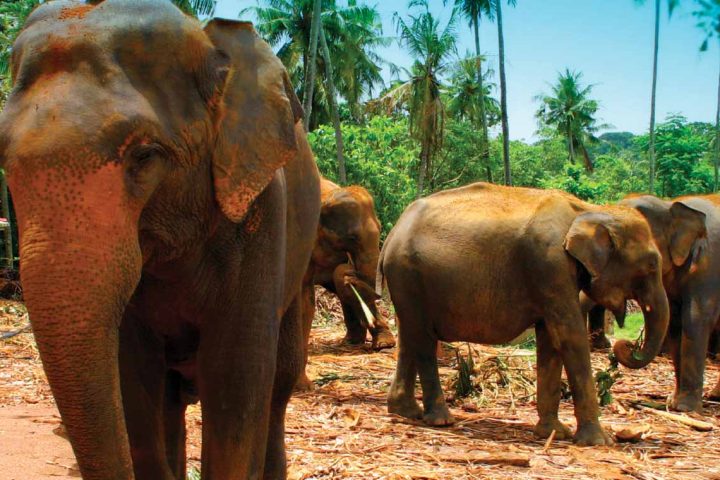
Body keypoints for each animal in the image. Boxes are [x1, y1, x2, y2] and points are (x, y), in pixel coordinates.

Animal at [0, 1, 320, 478]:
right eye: (4, 161)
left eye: (145, 155)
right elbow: (134, 373)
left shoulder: (261, 208)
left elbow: (235, 375)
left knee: (278, 386)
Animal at [380, 183, 672, 446]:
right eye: (650, 265)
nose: (625, 344)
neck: (589, 210)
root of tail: (392, 234)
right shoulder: (550, 265)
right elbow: (569, 336)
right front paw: (599, 442)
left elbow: (550, 340)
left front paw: (554, 433)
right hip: (409, 275)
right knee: (424, 339)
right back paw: (441, 420)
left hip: (408, 283)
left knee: (410, 335)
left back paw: (406, 411)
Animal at [584, 195, 716, 412]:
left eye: (652, 263)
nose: (627, 344)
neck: (669, 205)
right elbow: (675, 322)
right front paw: (674, 403)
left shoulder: (708, 266)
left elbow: (695, 319)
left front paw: (684, 409)